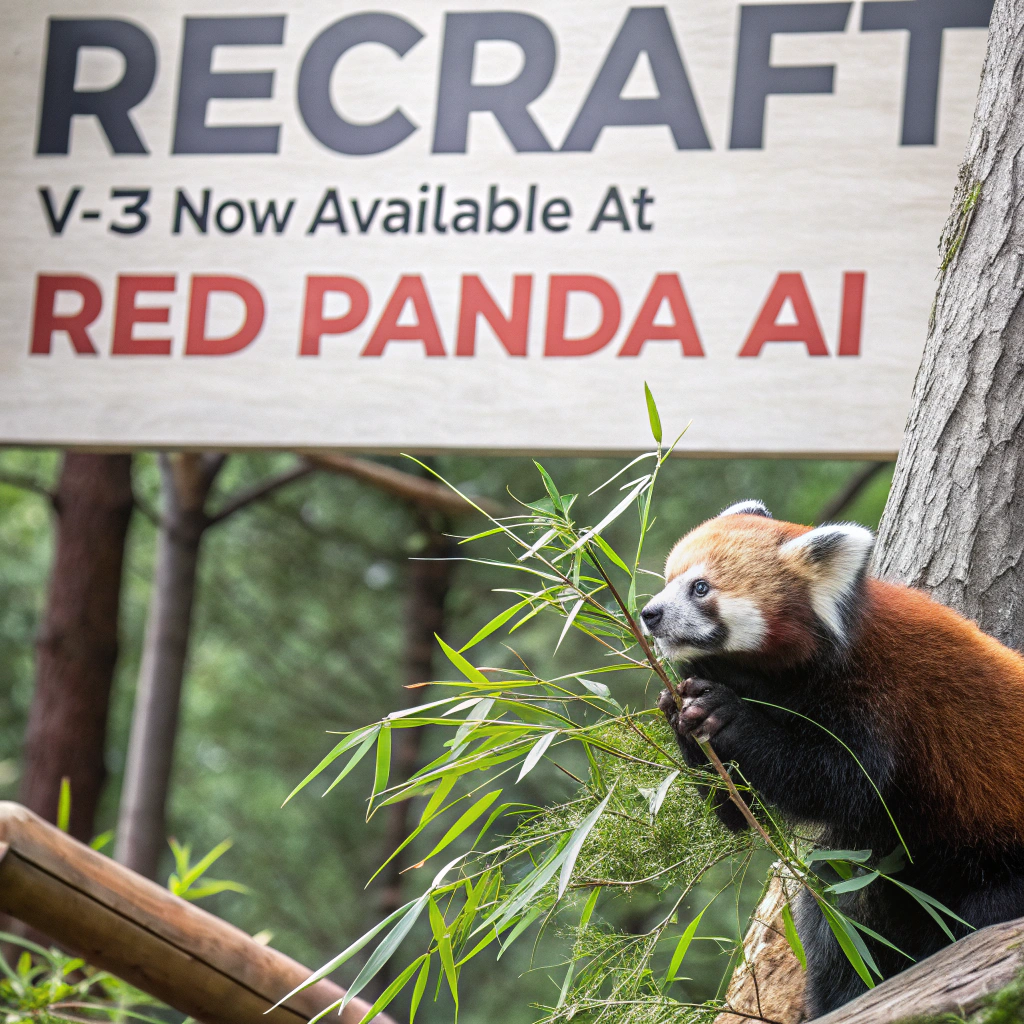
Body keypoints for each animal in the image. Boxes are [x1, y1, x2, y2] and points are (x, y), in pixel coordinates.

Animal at [641, 500, 1024, 1017]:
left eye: (700, 588)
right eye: (667, 580)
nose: (650, 613)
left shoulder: (877, 693)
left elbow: (838, 782)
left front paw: (724, 714)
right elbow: (743, 808)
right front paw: (678, 710)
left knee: (983, 912)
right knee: (840, 922)